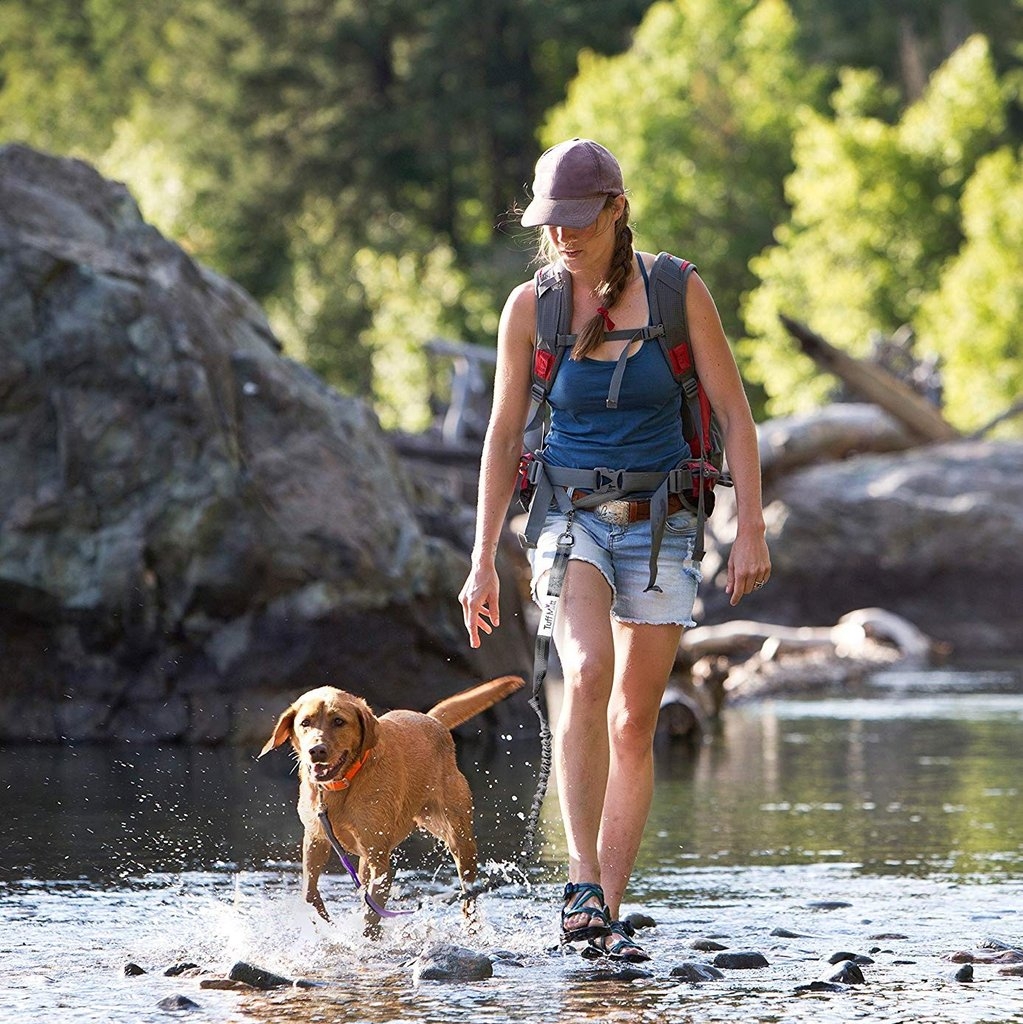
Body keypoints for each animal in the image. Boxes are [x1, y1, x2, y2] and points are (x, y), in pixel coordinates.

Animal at [260, 671, 524, 929]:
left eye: (339, 721)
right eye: (305, 722)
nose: (317, 750)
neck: (342, 785)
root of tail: (431, 720)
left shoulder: (379, 860)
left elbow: (373, 915)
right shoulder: (316, 840)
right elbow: (309, 893)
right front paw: (326, 923)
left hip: (458, 837)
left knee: (469, 892)